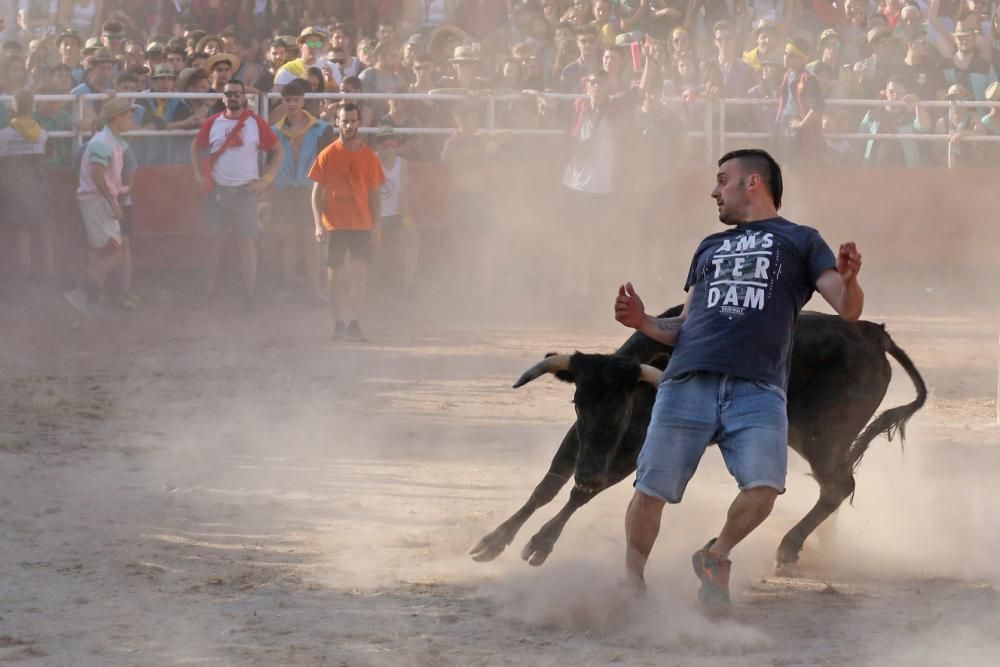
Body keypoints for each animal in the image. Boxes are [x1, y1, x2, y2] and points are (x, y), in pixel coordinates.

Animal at [472, 308, 924, 568]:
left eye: (621, 408)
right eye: (578, 402)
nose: (587, 472)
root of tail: (872, 333)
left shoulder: (634, 451)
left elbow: (579, 495)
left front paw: (540, 544)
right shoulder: (580, 440)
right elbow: (547, 485)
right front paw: (493, 542)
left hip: (821, 434)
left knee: (839, 484)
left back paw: (788, 547)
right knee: (836, 484)